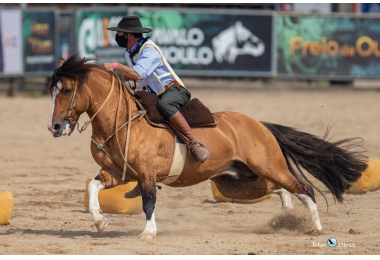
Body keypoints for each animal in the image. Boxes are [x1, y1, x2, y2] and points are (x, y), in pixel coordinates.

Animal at [47, 53, 368, 240]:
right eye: (51, 91)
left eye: (66, 89)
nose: (55, 127)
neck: (123, 121)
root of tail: (260, 125)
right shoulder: (117, 173)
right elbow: (93, 188)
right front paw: (100, 222)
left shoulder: (146, 173)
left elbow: (149, 200)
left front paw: (149, 231)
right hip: (237, 182)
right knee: (280, 189)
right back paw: (288, 217)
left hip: (268, 166)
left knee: (304, 188)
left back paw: (315, 228)